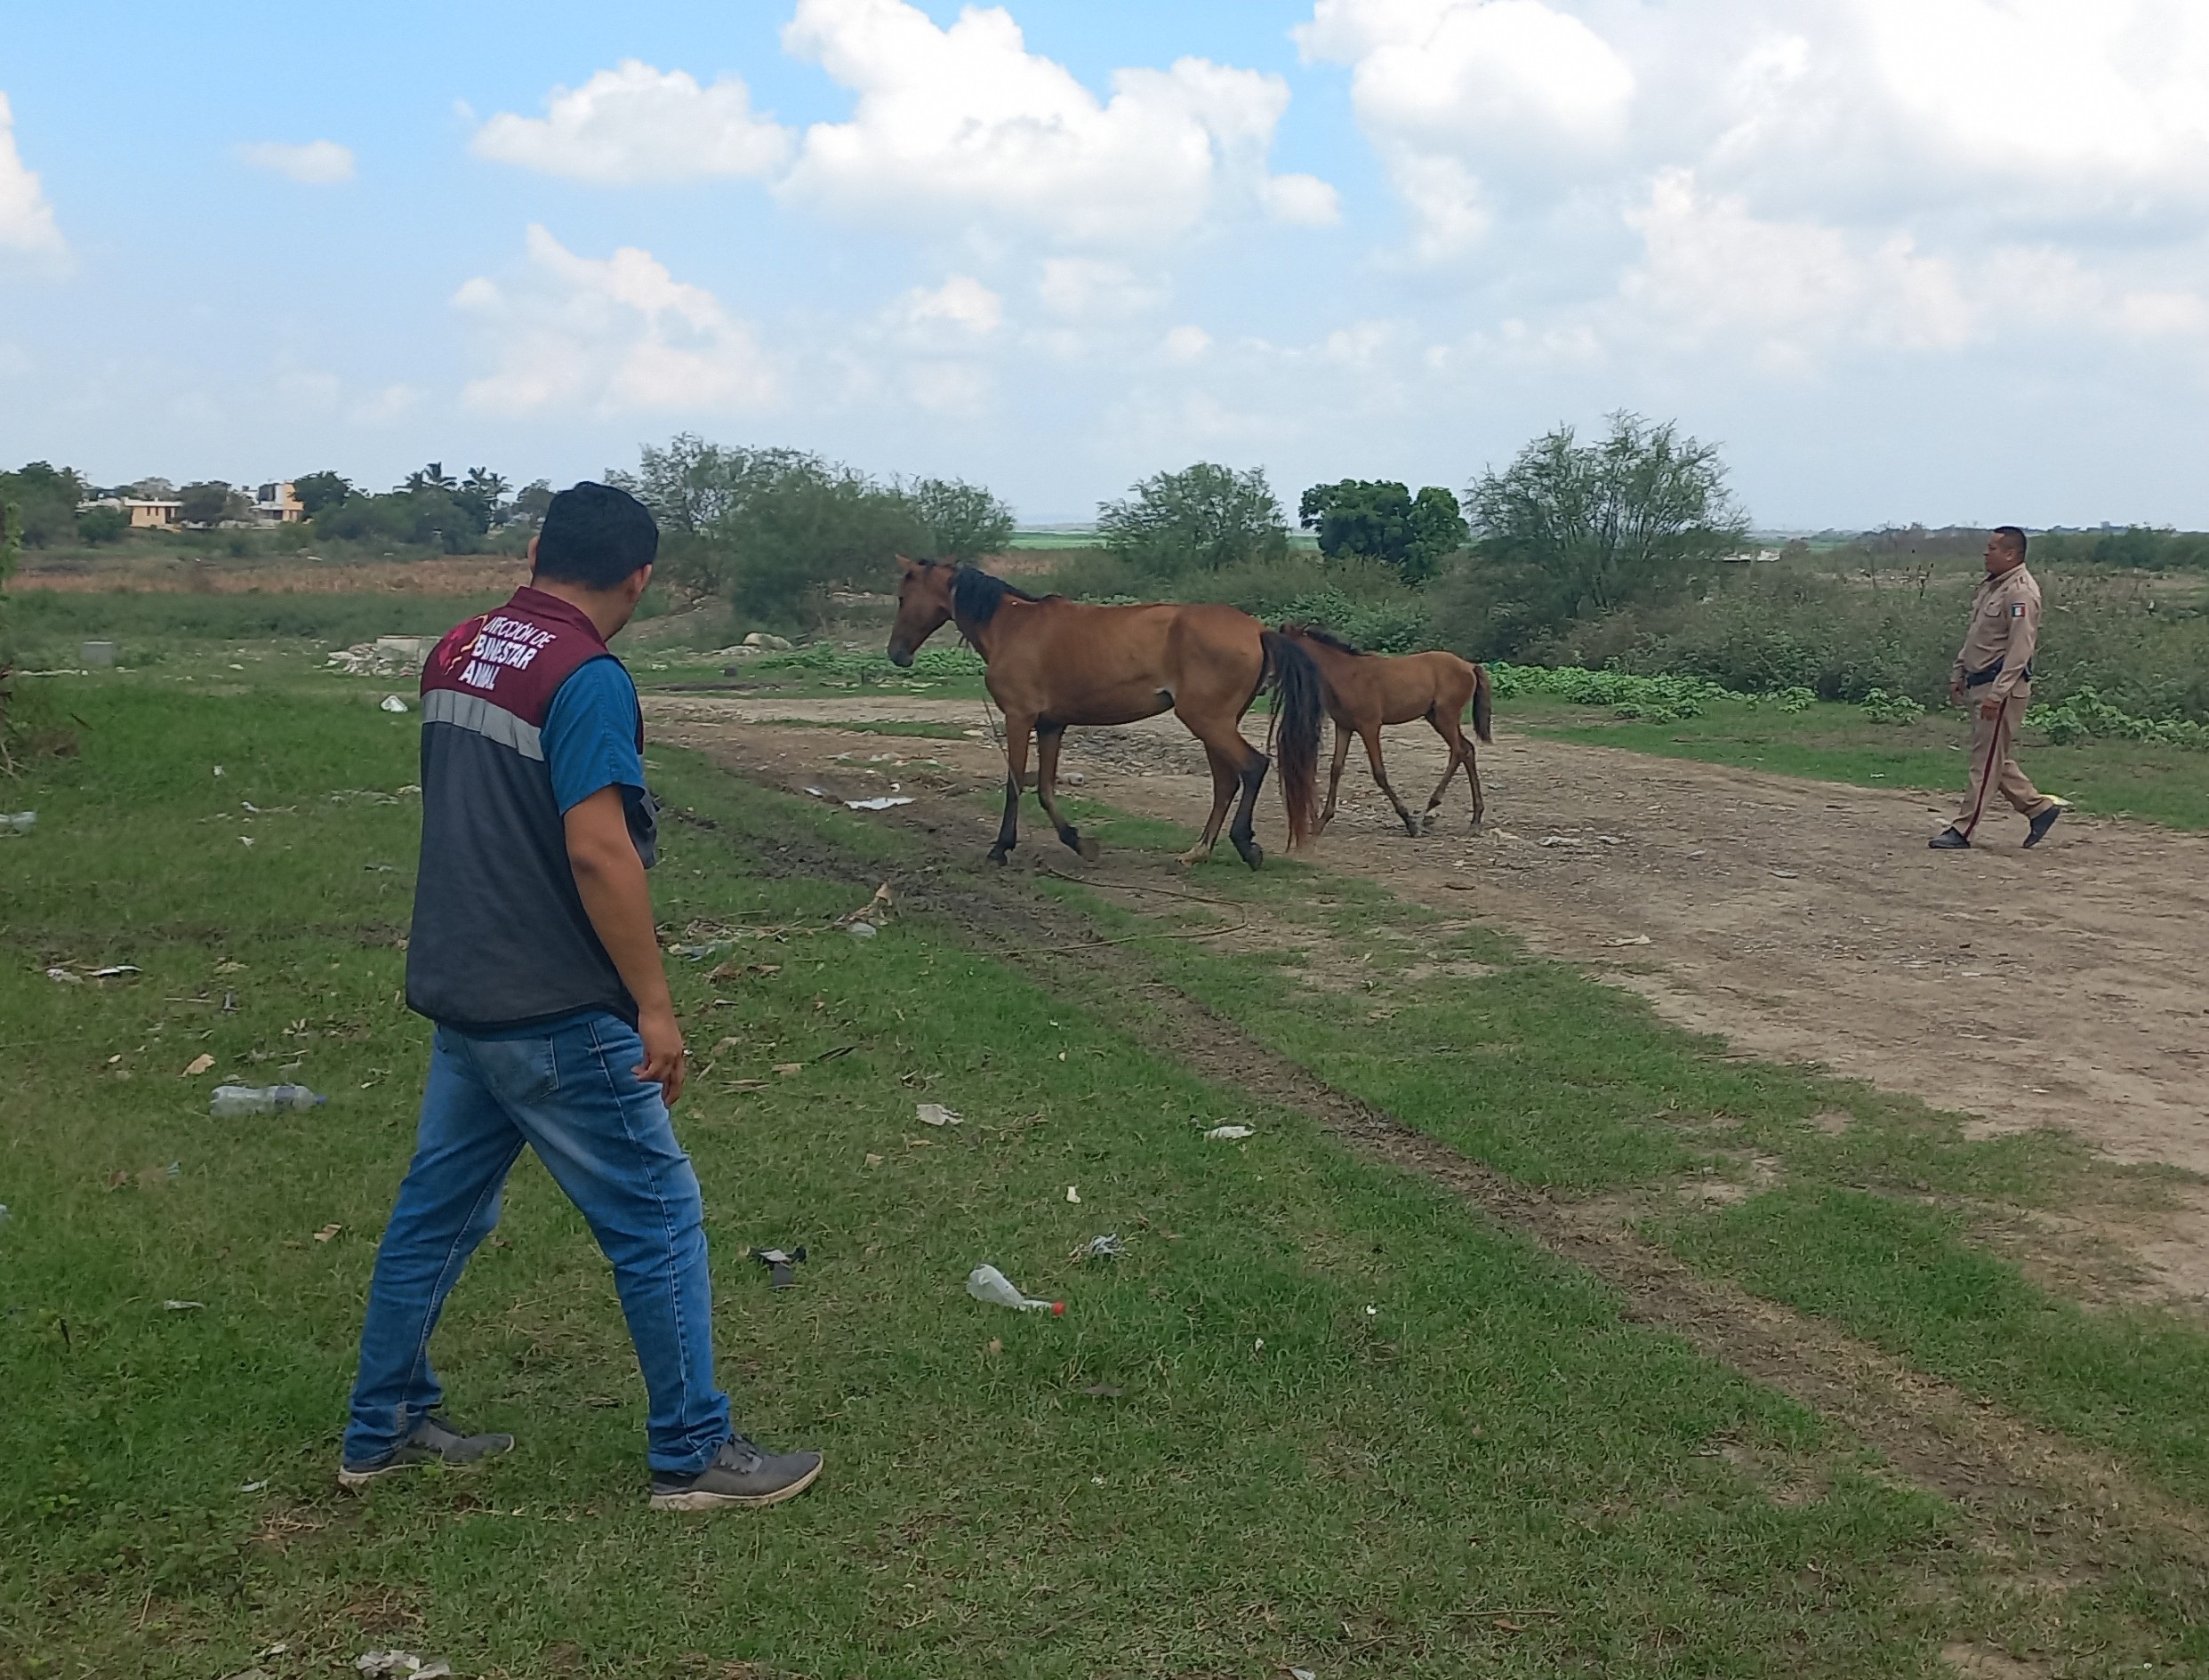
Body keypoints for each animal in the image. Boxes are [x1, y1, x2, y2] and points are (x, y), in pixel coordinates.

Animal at [886, 558, 1324, 868]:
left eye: (903, 598)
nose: (896, 654)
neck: (1012, 626)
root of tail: (1258, 630)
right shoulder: (1052, 724)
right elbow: (1045, 788)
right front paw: (1081, 843)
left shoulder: (1019, 718)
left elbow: (1015, 783)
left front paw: (1000, 848)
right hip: (1217, 724)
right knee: (1225, 783)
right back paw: (1198, 851)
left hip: (1208, 721)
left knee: (1252, 768)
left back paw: (1244, 845)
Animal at [1275, 624, 1493, 835]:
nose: (1273, 678)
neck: (1346, 675)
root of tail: (1469, 665)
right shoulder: (1344, 726)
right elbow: (1336, 769)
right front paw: (1321, 822)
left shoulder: (1369, 726)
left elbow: (1379, 773)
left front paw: (1410, 823)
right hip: (1436, 718)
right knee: (1468, 749)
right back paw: (1475, 819)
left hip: (1445, 716)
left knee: (1459, 751)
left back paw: (1431, 808)